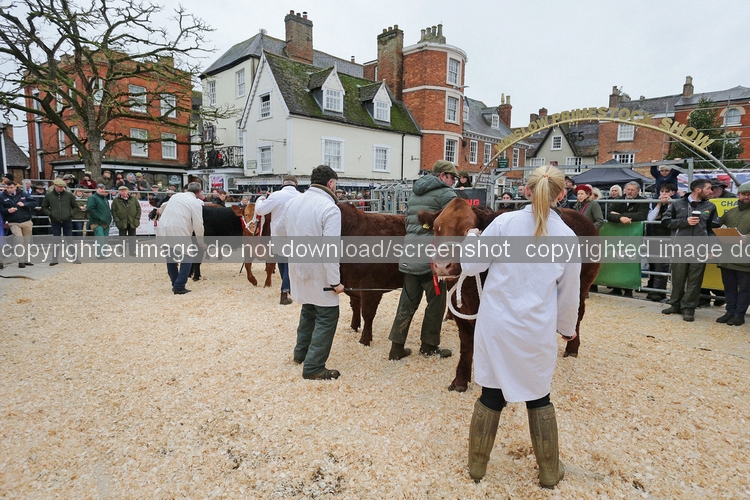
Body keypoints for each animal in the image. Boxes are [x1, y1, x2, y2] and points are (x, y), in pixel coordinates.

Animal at [418, 198, 600, 392]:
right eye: (436, 228)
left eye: (467, 229)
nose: (442, 265)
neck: (468, 290)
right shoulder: (460, 313)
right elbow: (466, 345)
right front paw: (460, 380)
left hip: (581, 284)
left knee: (577, 313)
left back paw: (572, 347)